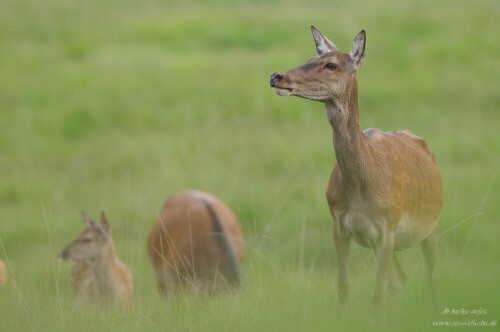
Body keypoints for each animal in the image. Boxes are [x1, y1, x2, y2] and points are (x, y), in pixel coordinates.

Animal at [272, 26, 444, 314]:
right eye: (310, 58)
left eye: (331, 64)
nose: (277, 76)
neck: (363, 190)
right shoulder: (340, 226)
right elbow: (344, 287)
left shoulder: (388, 227)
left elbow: (377, 295)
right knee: (400, 280)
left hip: (432, 225)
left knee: (432, 277)